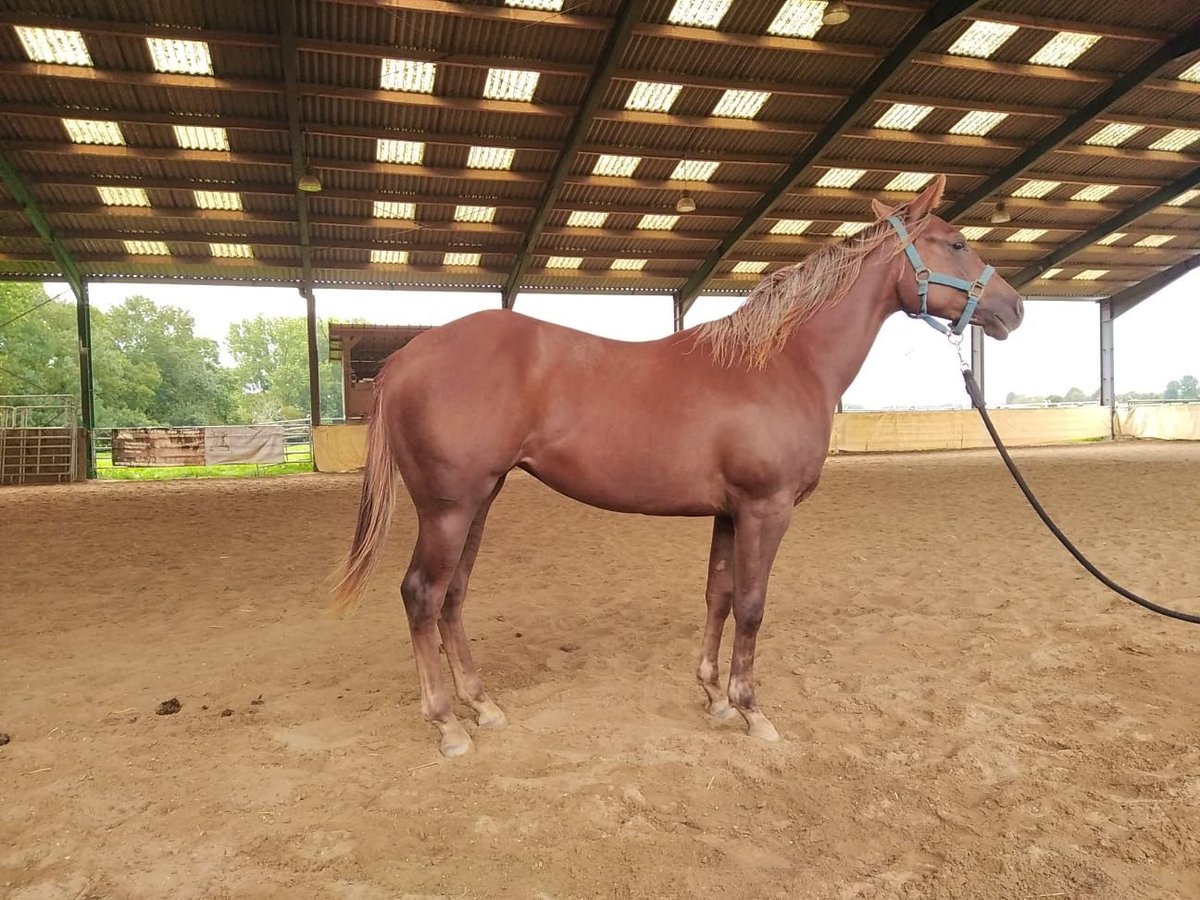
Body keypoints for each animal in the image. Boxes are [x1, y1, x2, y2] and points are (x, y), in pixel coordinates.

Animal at [336, 174, 1022, 753]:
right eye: (957, 243)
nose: (1014, 309)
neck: (782, 362)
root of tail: (405, 356)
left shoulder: (730, 512)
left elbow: (718, 596)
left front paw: (714, 698)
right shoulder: (766, 509)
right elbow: (752, 605)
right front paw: (752, 710)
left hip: (480, 500)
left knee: (452, 596)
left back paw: (483, 706)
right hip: (449, 507)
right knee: (422, 595)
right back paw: (448, 724)